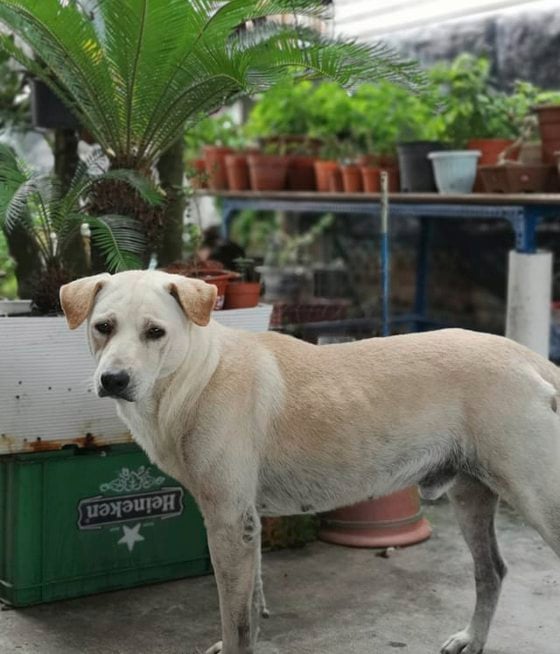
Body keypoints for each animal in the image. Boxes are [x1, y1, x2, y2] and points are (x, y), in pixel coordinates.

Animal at [60, 270, 560, 654]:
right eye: (103, 326)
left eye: (155, 332)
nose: (114, 379)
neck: (197, 375)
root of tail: (530, 358)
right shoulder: (247, 523)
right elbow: (251, 604)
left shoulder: (228, 521)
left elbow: (235, 617)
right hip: (471, 493)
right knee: (490, 572)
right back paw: (472, 639)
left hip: (538, 498)